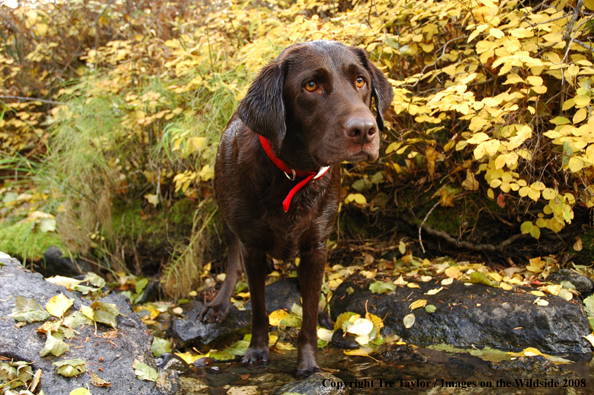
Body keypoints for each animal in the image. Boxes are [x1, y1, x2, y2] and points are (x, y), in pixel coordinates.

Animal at [199, 39, 394, 378]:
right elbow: (259, 310)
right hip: (230, 219)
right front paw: (257, 351)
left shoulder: (316, 247)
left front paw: (308, 364)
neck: (293, 175)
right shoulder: (253, 248)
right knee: (233, 261)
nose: (365, 130)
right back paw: (219, 304)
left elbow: (309, 316)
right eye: (311, 86)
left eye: (360, 81)